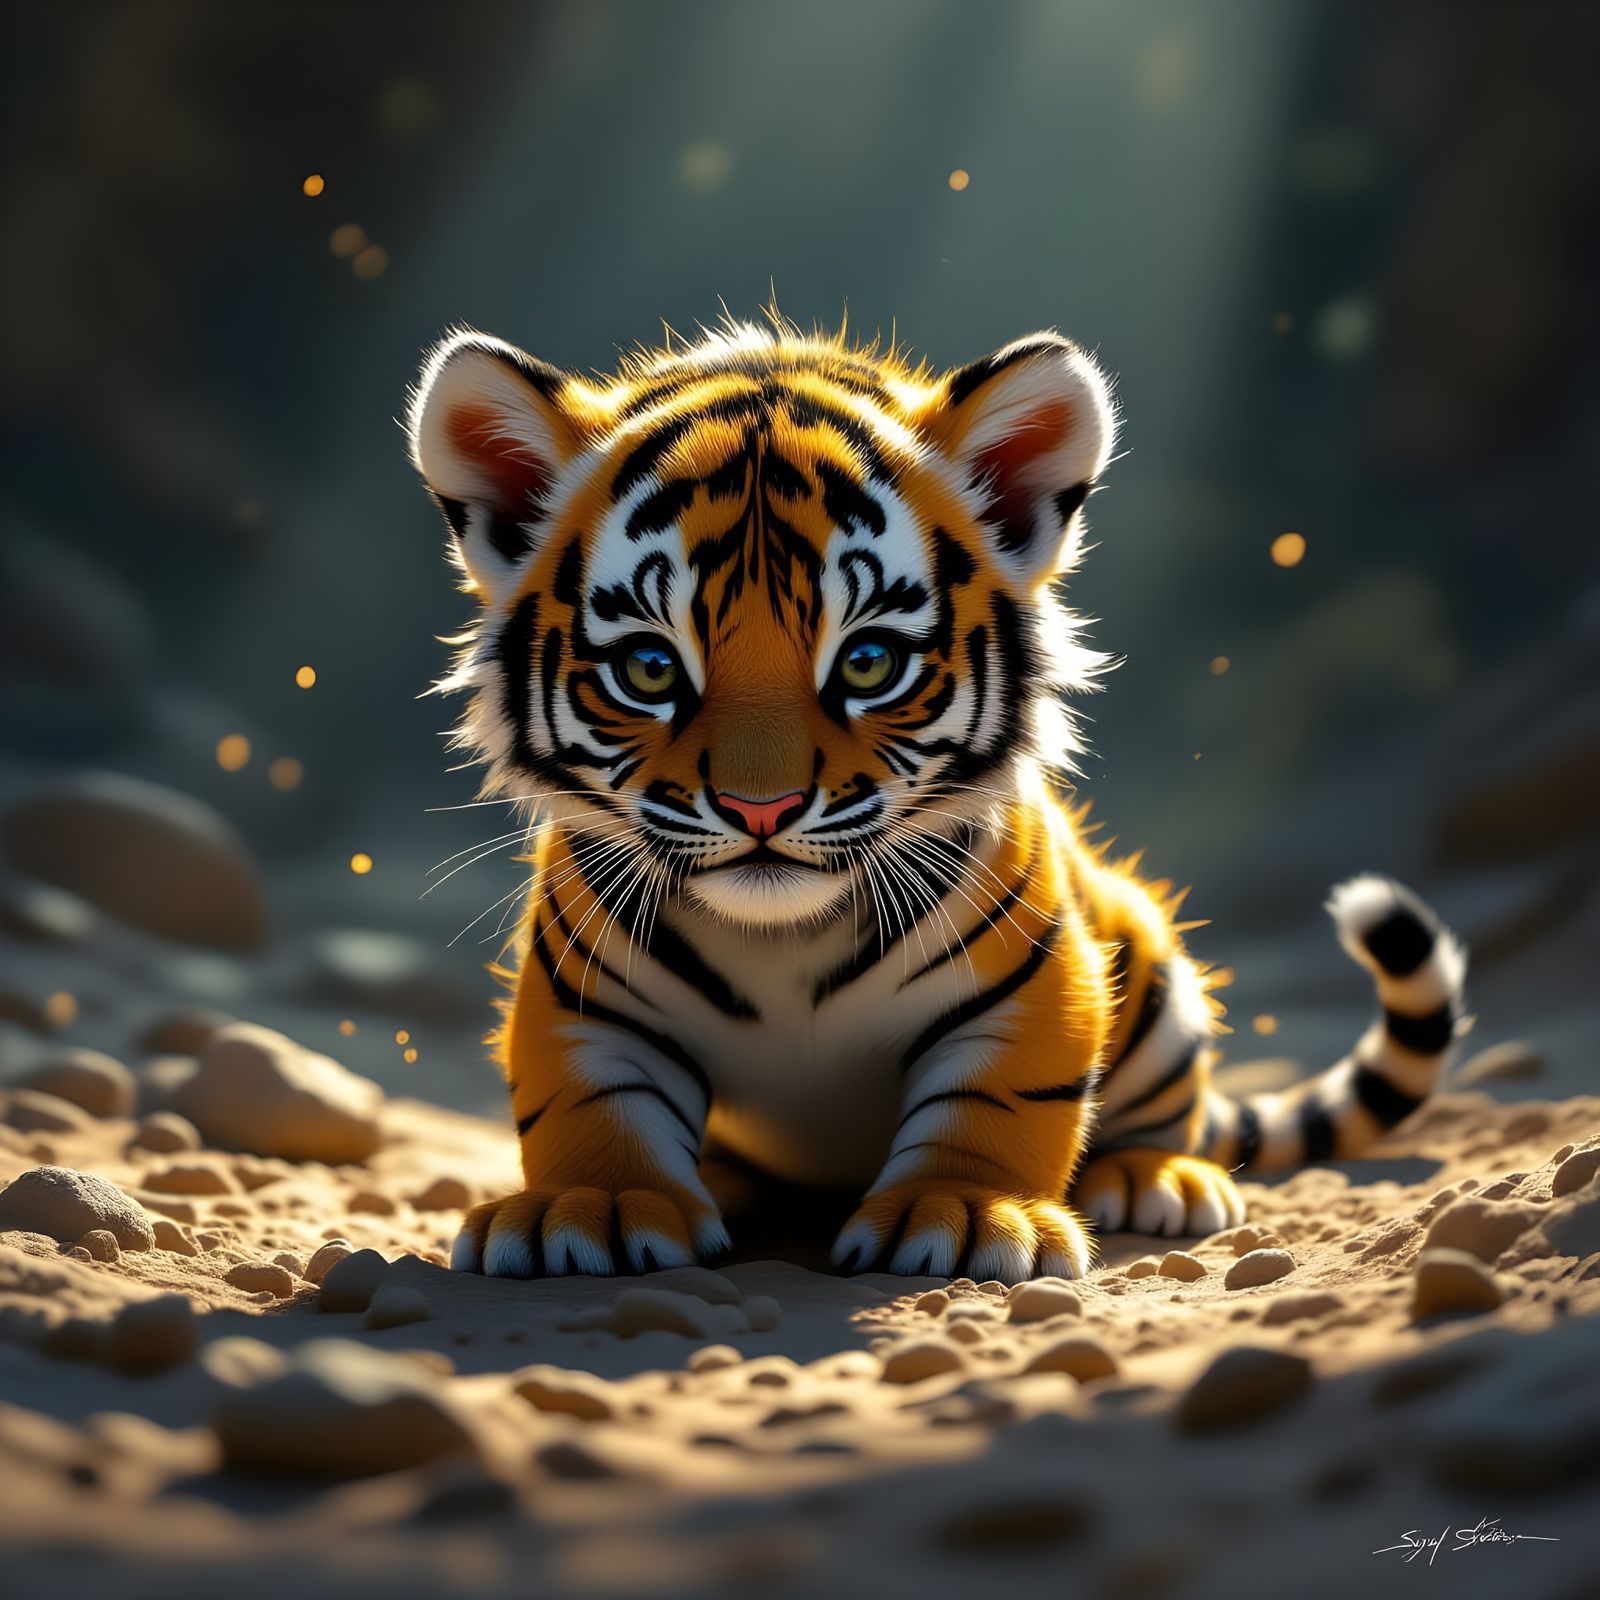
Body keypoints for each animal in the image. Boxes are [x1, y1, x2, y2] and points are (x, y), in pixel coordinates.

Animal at [404, 314, 1468, 1284]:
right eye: (650, 669)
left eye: (868, 662)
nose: (761, 811)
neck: (782, 943)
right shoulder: (580, 1001)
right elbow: (588, 1101)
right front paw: (597, 1206)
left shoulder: (1035, 980)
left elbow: (1001, 1096)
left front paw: (964, 1212)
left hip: (1151, 964)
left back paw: (1153, 1178)